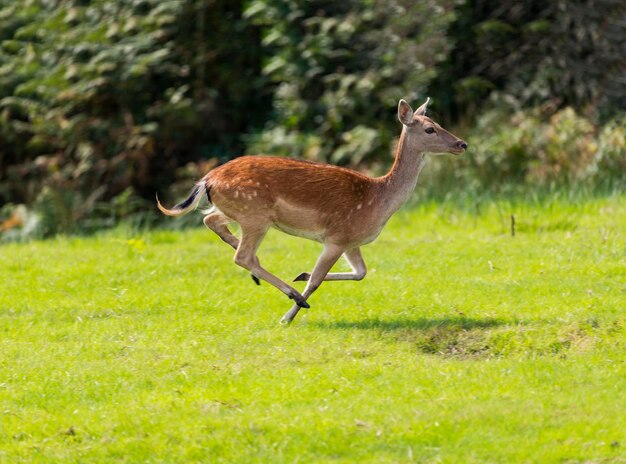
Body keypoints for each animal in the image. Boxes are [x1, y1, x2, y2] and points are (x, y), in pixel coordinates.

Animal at [158, 98, 466, 322]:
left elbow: (361, 272)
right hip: (255, 213)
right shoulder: (338, 236)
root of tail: (207, 180)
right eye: (429, 129)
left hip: (241, 211)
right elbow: (319, 281)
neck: (379, 200)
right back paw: (293, 295)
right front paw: (288, 316)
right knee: (241, 255)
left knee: (212, 221)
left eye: (437, 123)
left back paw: (262, 273)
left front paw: (301, 275)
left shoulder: (351, 241)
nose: (462, 143)